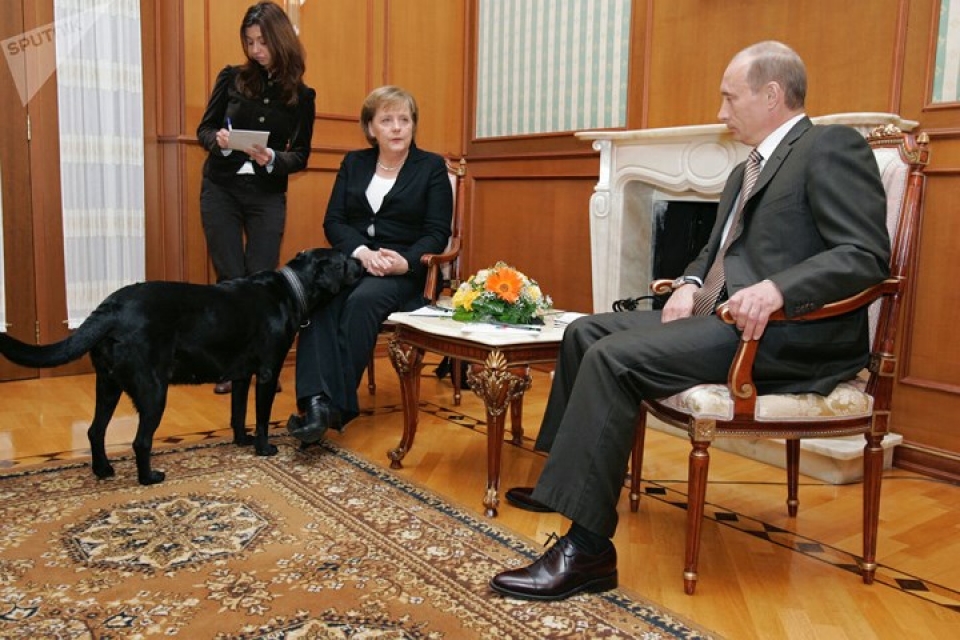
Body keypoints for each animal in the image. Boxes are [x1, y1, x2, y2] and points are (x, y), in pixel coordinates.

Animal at [0, 250, 362, 484]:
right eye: (345, 260)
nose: (362, 259)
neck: (290, 287)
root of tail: (110, 307)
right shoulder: (267, 373)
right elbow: (260, 417)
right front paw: (263, 448)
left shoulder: (242, 375)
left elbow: (238, 413)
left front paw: (241, 441)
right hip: (153, 390)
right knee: (140, 441)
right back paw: (148, 478)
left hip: (108, 385)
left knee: (94, 430)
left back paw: (103, 471)